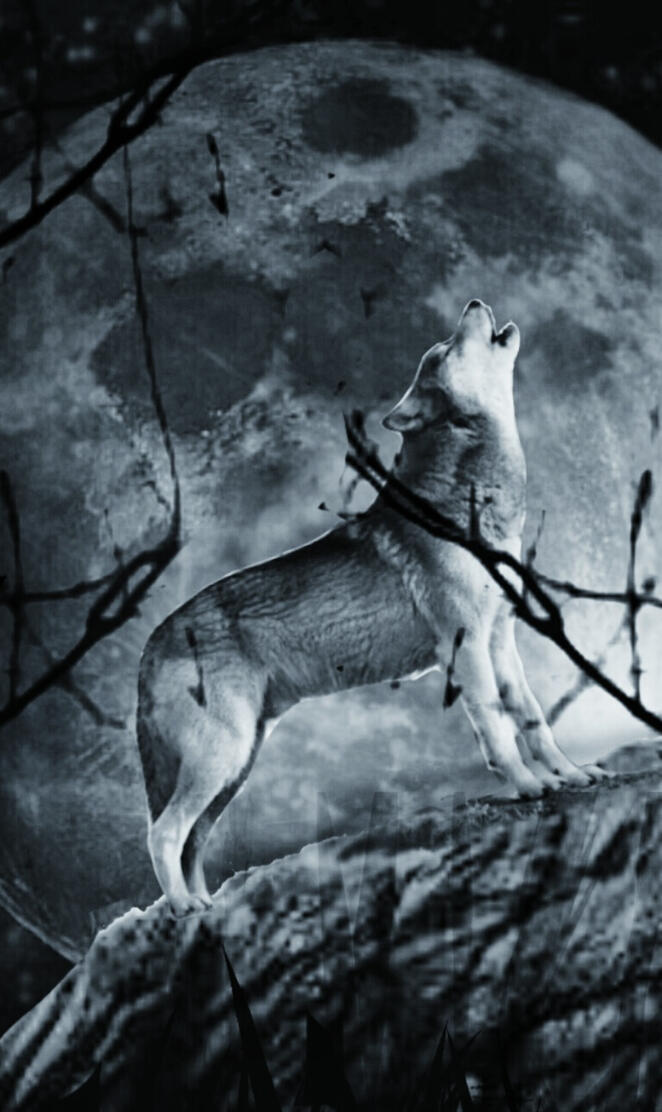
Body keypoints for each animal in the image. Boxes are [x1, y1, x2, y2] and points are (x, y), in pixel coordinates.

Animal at [136, 299, 606, 916]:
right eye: (443, 349)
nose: (474, 304)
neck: (474, 504)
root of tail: (149, 643)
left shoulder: (501, 642)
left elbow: (534, 720)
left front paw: (569, 776)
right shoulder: (466, 652)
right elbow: (498, 732)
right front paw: (528, 786)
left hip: (234, 769)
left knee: (191, 842)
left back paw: (205, 906)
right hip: (222, 758)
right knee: (162, 833)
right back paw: (185, 908)